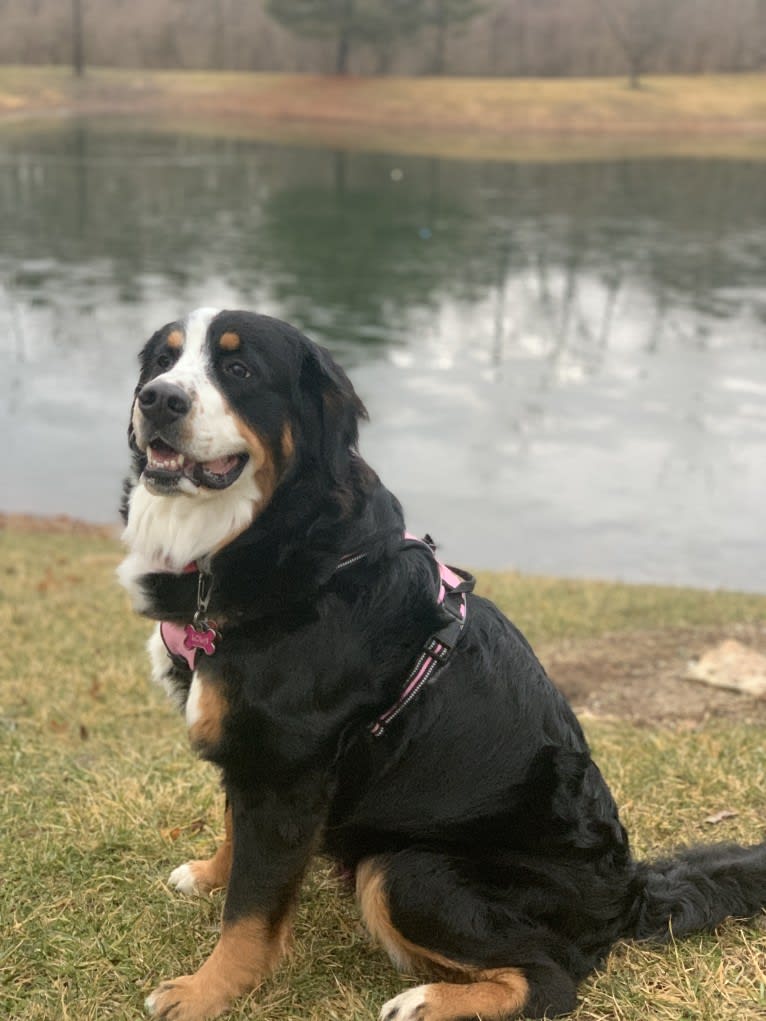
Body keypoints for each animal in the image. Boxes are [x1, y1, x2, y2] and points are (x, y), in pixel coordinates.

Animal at [120, 308, 766, 1021]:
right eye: (162, 362)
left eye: (238, 369)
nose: (158, 401)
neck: (281, 541)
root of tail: (627, 894)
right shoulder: (256, 756)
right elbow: (238, 838)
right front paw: (210, 875)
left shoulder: (287, 770)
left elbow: (252, 910)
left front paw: (205, 991)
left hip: (406, 869)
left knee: (550, 978)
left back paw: (428, 1001)